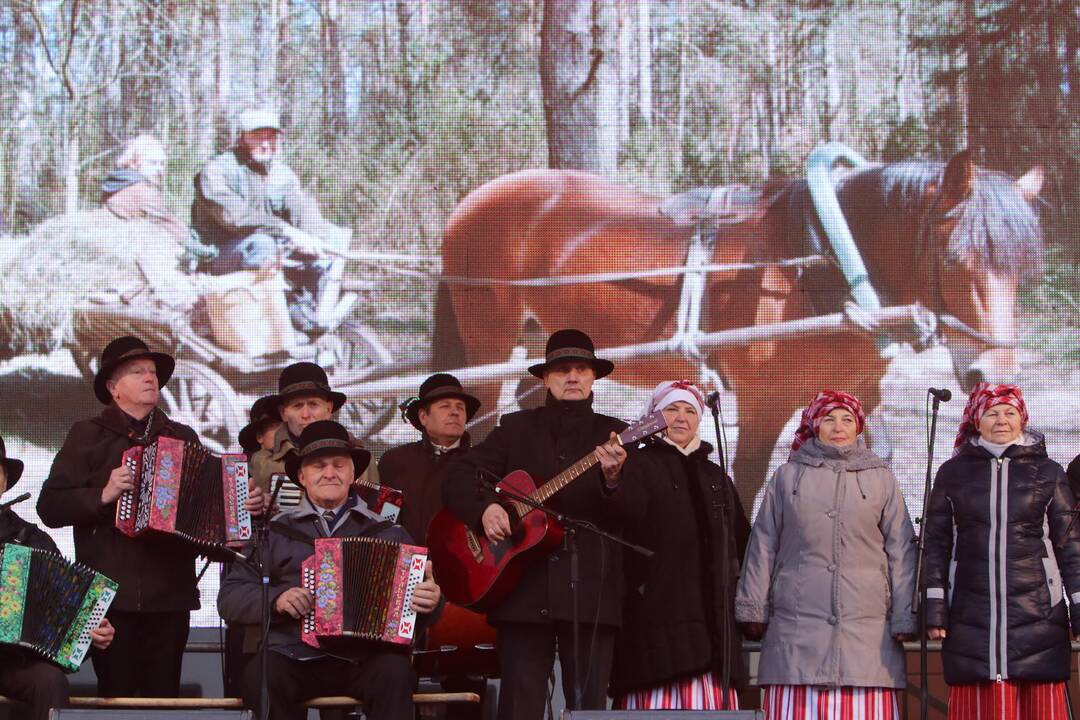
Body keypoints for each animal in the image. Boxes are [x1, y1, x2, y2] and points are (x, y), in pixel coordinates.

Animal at [432, 153, 1045, 507]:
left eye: (1025, 267)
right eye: (955, 259)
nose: (991, 373)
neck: (818, 262)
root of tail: (469, 202)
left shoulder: (857, 393)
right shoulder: (763, 404)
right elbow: (747, 486)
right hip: (488, 343)